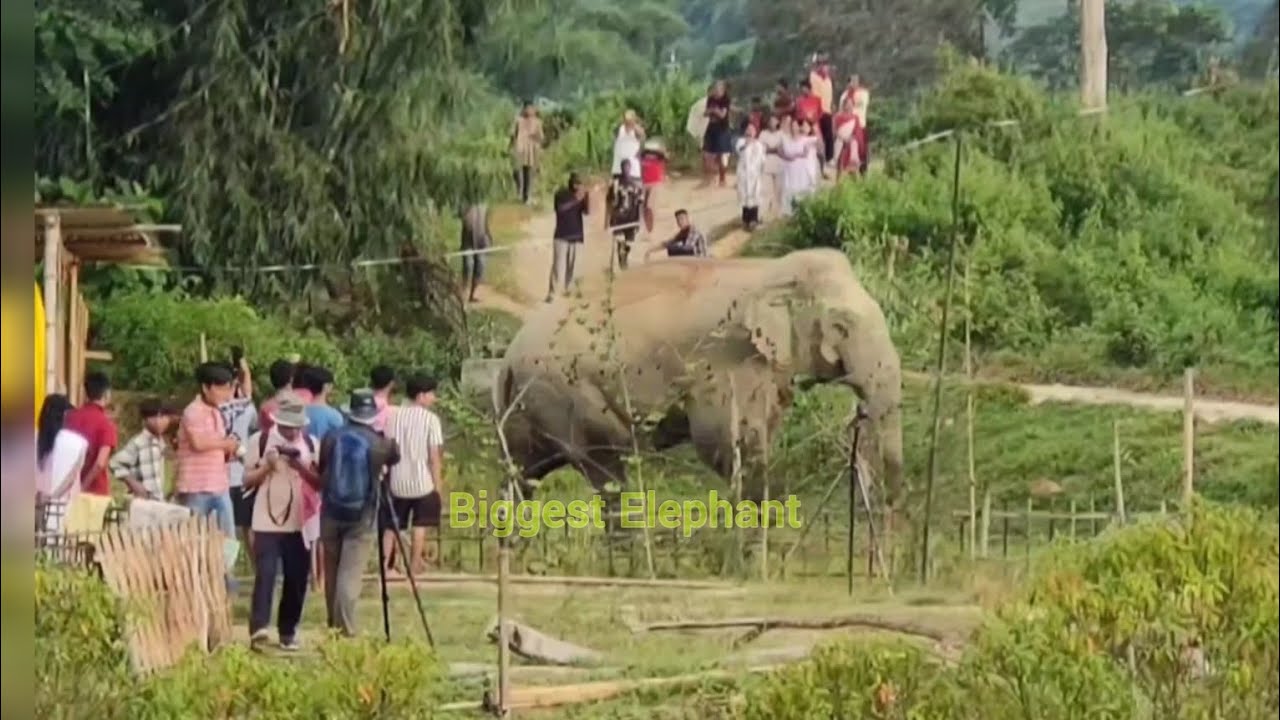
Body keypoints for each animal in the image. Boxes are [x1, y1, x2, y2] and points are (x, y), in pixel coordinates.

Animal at [491, 247, 904, 512]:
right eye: (841, 326)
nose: (886, 502)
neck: (770, 271)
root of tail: (508, 359)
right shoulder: (725, 357)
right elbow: (726, 440)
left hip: (529, 406)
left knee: (523, 474)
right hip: (566, 393)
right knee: (605, 469)